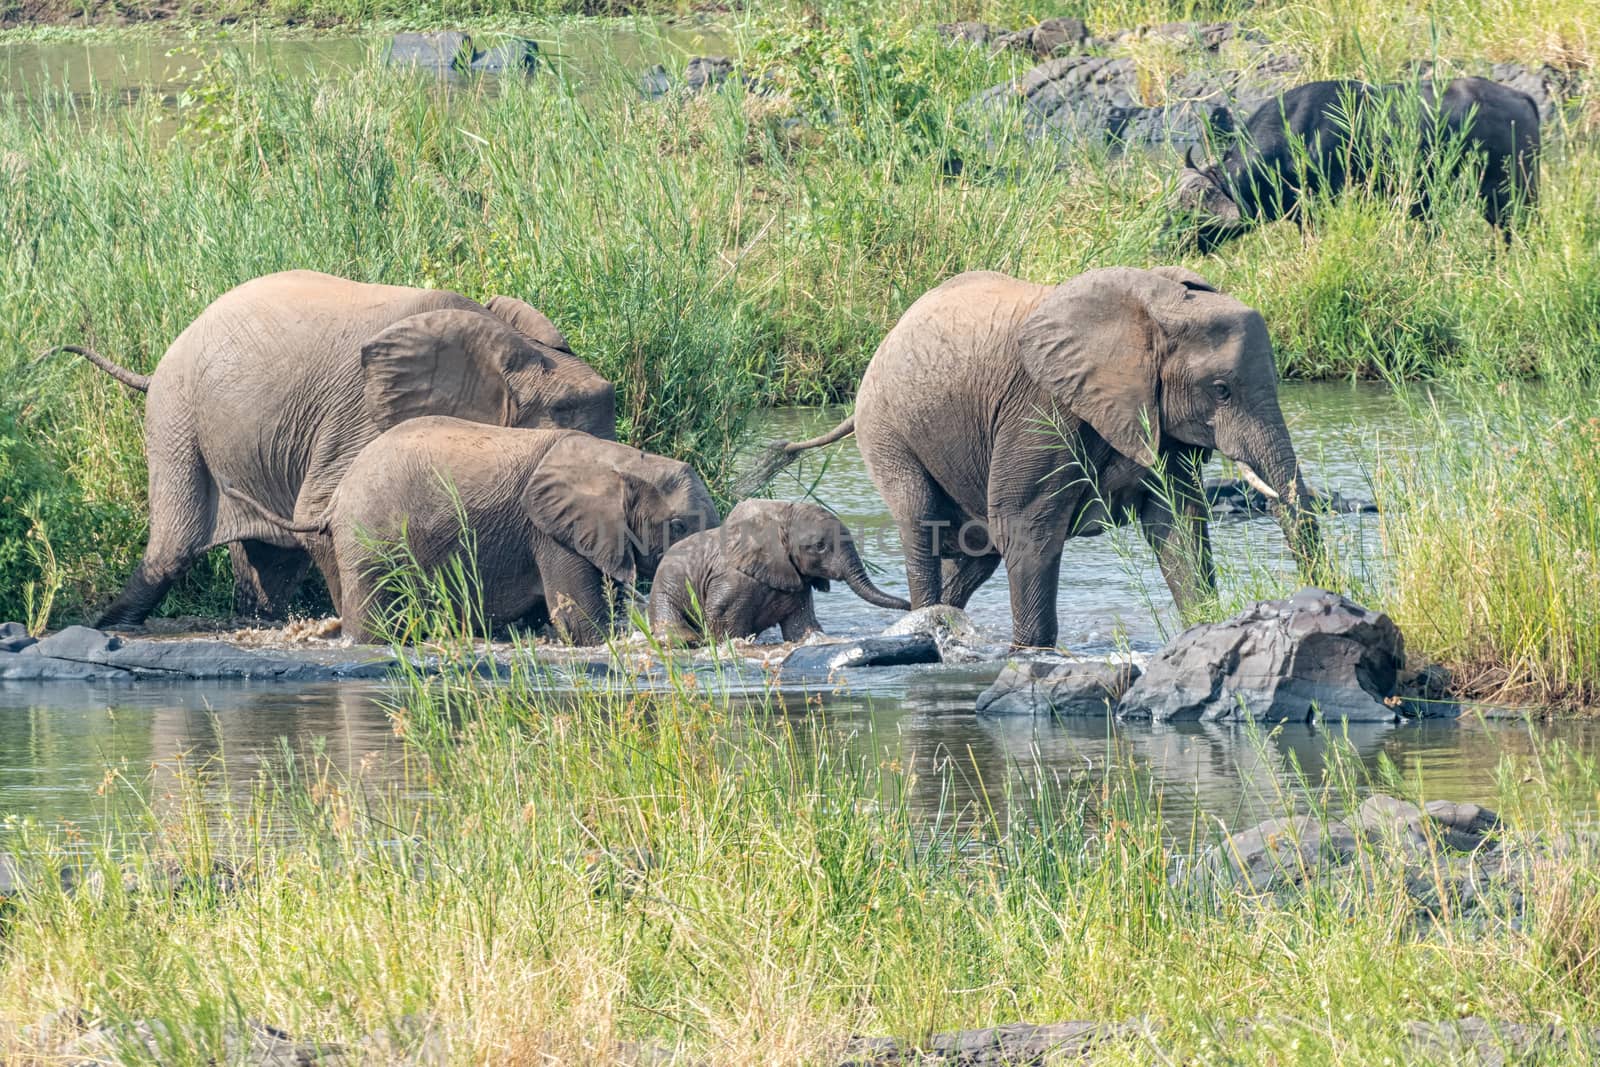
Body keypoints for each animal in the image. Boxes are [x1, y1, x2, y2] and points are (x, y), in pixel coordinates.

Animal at [42, 271, 617, 630]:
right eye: (563, 416)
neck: (509, 347)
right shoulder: (360, 413)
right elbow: (324, 513)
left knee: (270, 567)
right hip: (175, 415)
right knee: (172, 551)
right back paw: (109, 627)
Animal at [230, 415, 720, 643]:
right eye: (678, 525)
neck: (623, 460)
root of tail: (336, 499)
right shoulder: (550, 533)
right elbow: (579, 624)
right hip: (372, 541)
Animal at [643, 502, 908, 643]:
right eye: (820, 546)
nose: (909, 604)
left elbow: (801, 628)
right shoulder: (734, 580)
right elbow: (722, 619)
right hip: (666, 587)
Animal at [742, 267, 1331, 652]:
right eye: (1222, 390)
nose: (1317, 596)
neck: (1153, 308)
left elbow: (1179, 525)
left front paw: (1203, 625)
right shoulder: (1042, 409)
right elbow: (1027, 527)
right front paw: (1032, 653)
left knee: (975, 552)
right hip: (888, 430)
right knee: (923, 526)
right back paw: (924, 627)